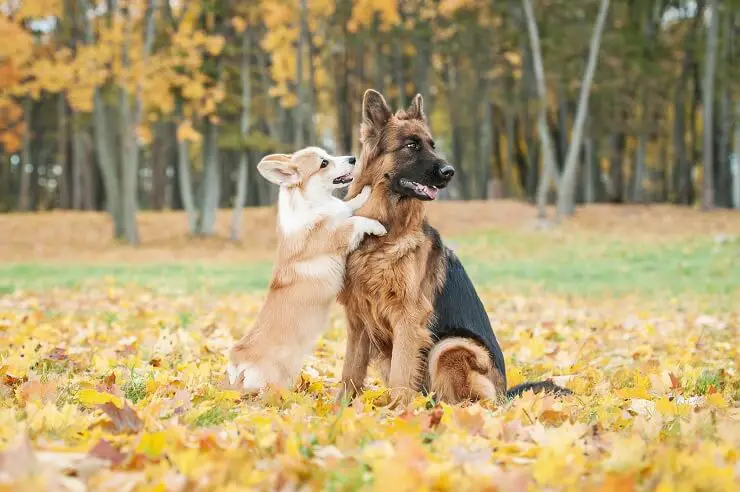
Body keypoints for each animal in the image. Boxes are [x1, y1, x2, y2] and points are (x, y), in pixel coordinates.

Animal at [338, 90, 568, 406]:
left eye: (432, 145)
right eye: (411, 145)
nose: (450, 172)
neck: (382, 233)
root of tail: (504, 394)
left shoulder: (408, 319)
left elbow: (400, 376)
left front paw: (397, 411)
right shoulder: (357, 321)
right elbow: (349, 374)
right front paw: (338, 410)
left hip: (450, 346)